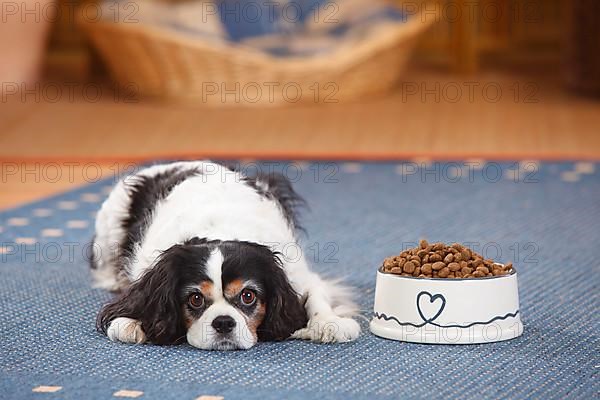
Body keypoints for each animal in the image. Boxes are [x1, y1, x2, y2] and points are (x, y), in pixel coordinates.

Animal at [91, 161, 358, 348]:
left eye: (248, 296)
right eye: (195, 299)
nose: (223, 322)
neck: (220, 230)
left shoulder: (296, 274)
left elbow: (316, 296)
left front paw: (329, 323)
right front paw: (131, 322)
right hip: (110, 222)